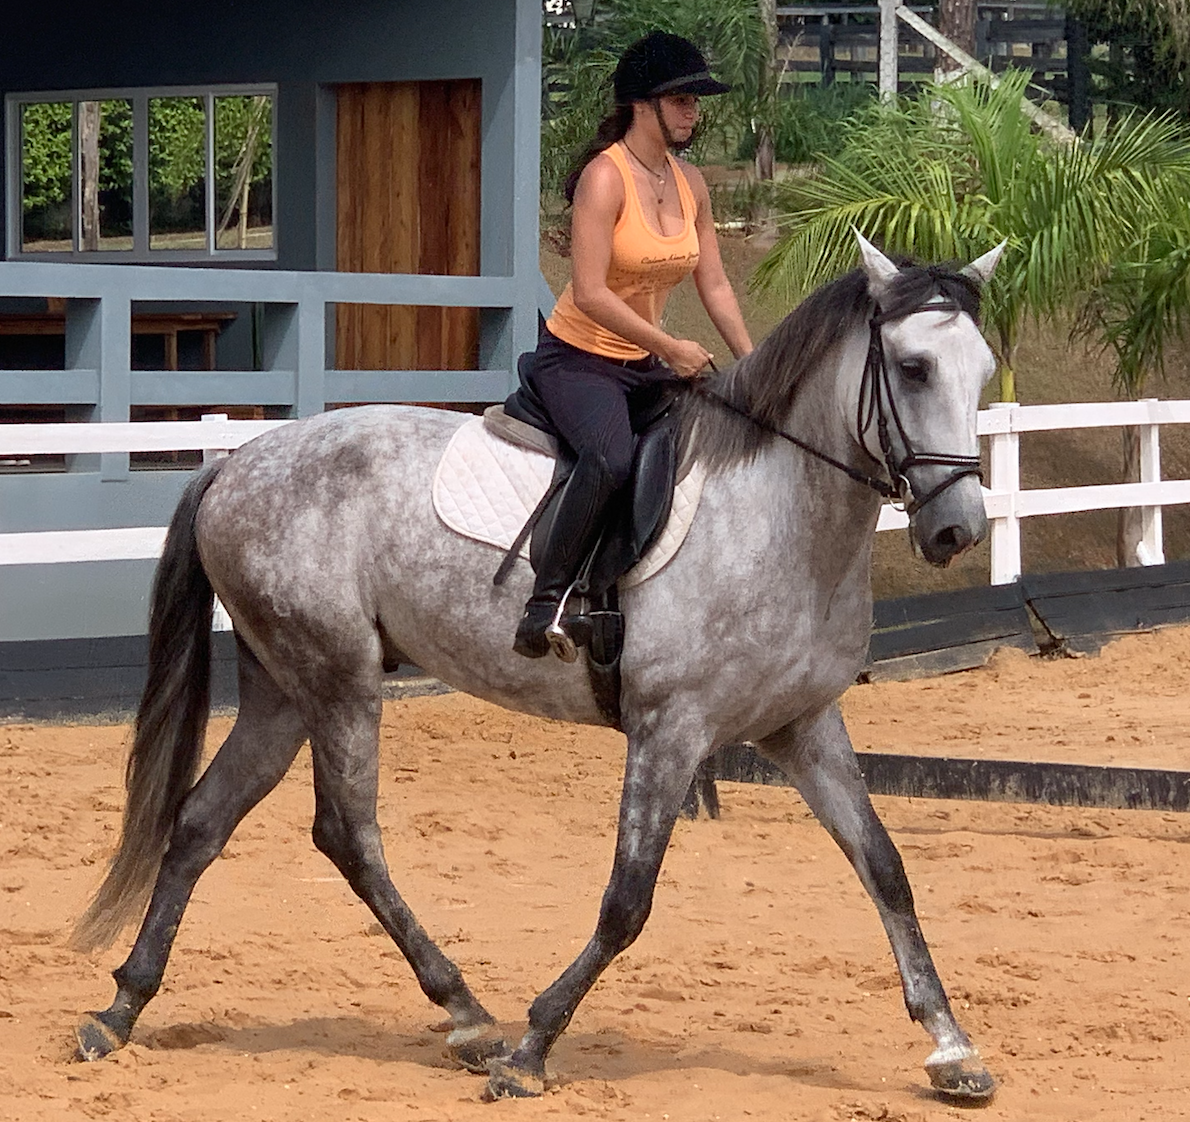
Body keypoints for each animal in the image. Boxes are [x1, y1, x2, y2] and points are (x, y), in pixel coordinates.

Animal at [71, 234, 1003, 1103]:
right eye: (913, 368)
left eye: (984, 371)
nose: (957, 530)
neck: (780, 517)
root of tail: (237, 463)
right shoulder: (672, 731)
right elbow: (627, 902)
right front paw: (532, 1049)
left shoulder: (802, 727)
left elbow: (885, 867)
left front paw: (952, 1047)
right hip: (338, 680)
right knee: (346, 834)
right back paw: (468, 1015)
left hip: (285, 689)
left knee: (202, 820)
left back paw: (122, 1009)